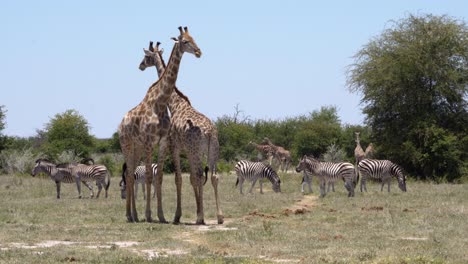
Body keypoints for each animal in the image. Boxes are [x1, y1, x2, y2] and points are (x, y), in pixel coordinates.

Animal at [117, 25, 201, 222]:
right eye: (185, 41)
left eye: (194, 38)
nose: (199, 52)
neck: (161, 103)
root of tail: (120, 124)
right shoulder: (149, 142)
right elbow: (148, 176)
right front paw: (149, 215)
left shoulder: (162, 142)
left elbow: (159, 177)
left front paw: (161, 216)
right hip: (127, 145)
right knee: (129, 175)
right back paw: (130, 215)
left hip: (137, 147)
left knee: (131, 174)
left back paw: (134, 215)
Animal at [139, 39, 223, 225]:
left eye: (146, 57)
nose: (140, 65)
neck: (174, 104)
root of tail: (209, 132)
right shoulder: (187, 151)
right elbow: (191, 179)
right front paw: (197, 210)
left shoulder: (175, 147)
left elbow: (180, 179)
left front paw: (178, 216)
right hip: (212, 150)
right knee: (213, 176)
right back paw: (219, 216)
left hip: (196, 151)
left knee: (200, 175)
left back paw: (200, 217)